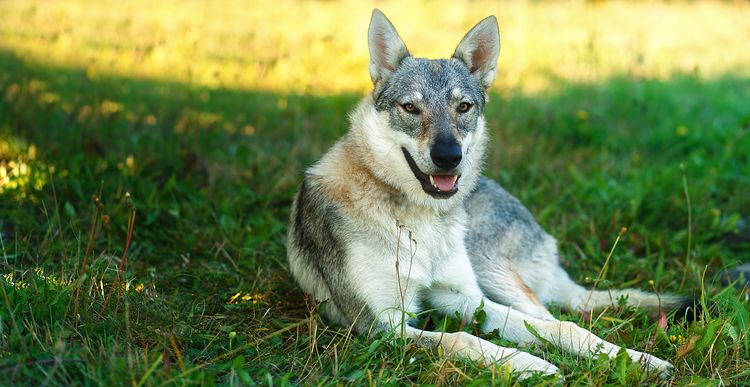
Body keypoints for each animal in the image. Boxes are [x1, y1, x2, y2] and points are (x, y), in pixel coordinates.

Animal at [290, 9, 692, 382]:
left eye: (463, 107)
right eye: (410, 108)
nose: (449, 156)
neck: (420, 218)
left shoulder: (464, 296)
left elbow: (553, 328)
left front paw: (635, 359)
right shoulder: (381, 325)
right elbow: (465, 339)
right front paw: (531, 365)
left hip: (492, 272)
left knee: (560, 316)